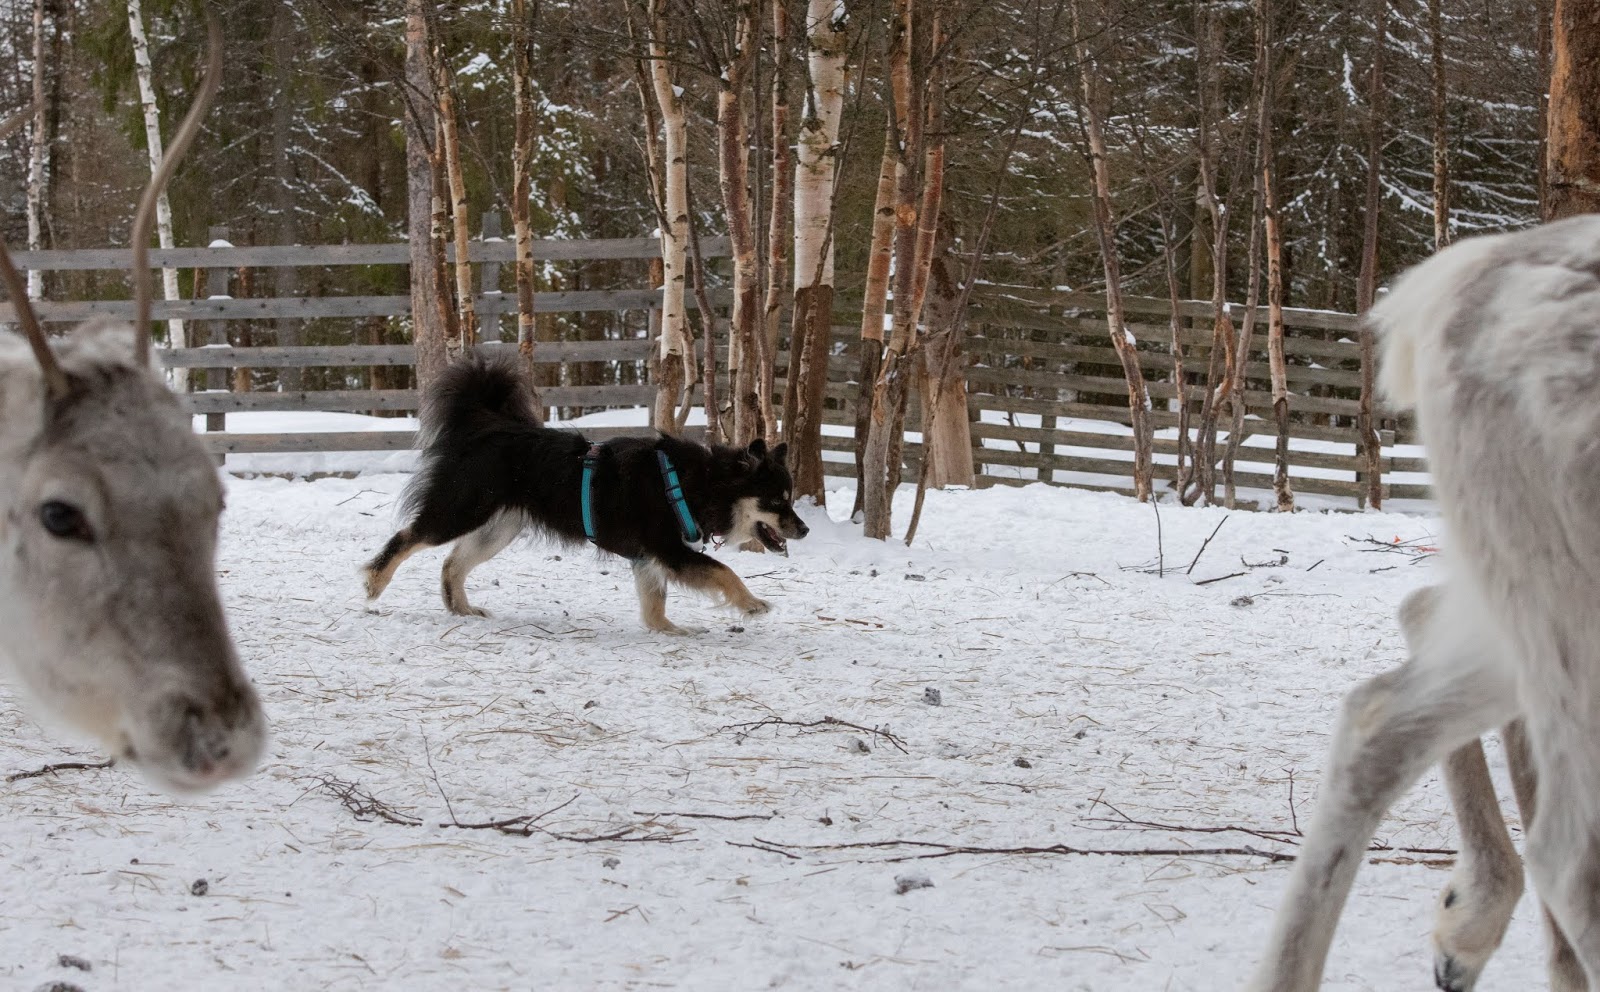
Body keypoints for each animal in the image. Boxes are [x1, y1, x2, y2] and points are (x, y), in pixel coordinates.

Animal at [361, 347, 809, 633]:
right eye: (777, 501)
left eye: (789, 500)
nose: (804, 530)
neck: (695, 482)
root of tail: (488, 427)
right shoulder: (668, 550)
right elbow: (725, 572)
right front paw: (752, 604)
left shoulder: (648, 558)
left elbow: (655, 601)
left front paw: (666, 630)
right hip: (460, 510)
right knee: (407, 537)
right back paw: (375, 582)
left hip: (497, 529)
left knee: (452, 563)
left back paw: (462, 609)